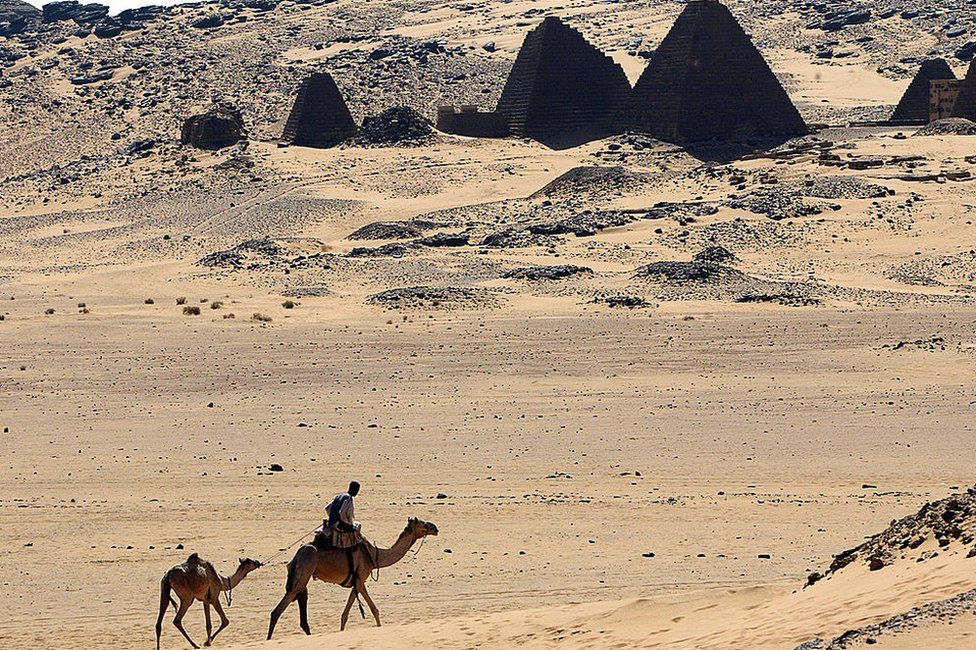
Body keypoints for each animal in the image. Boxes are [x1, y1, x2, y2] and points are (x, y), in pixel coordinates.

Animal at [264, 516, 436, 636]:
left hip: (302, 573)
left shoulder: (358, 581)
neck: (374, 556)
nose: (435, 527)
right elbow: (356, 612)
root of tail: (296, 555)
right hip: (305, 568)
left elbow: (365, 610)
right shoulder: (359, 579)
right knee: (278, 609)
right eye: (423, 524)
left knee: (301, 600)